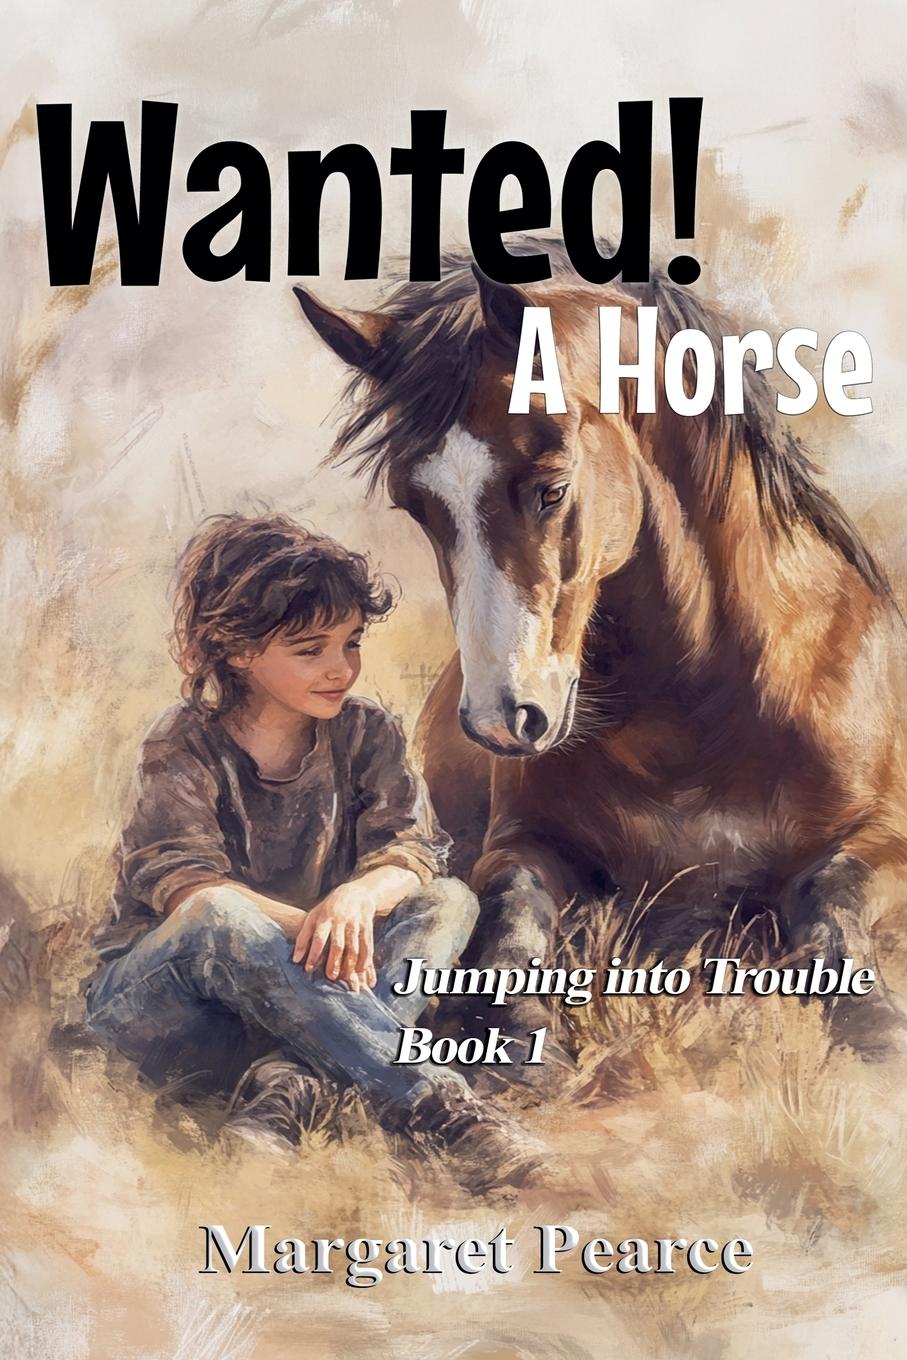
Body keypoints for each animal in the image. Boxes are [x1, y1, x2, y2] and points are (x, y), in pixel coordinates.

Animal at [294, 240, 907, 1074]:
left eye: (550, 489)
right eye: (413, 504)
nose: (499, 721)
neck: (700, 714)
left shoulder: (885, 839)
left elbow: (829, 899)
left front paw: (874, 1024)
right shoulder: (520, 842)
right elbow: (510, 917)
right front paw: (510, 1028)